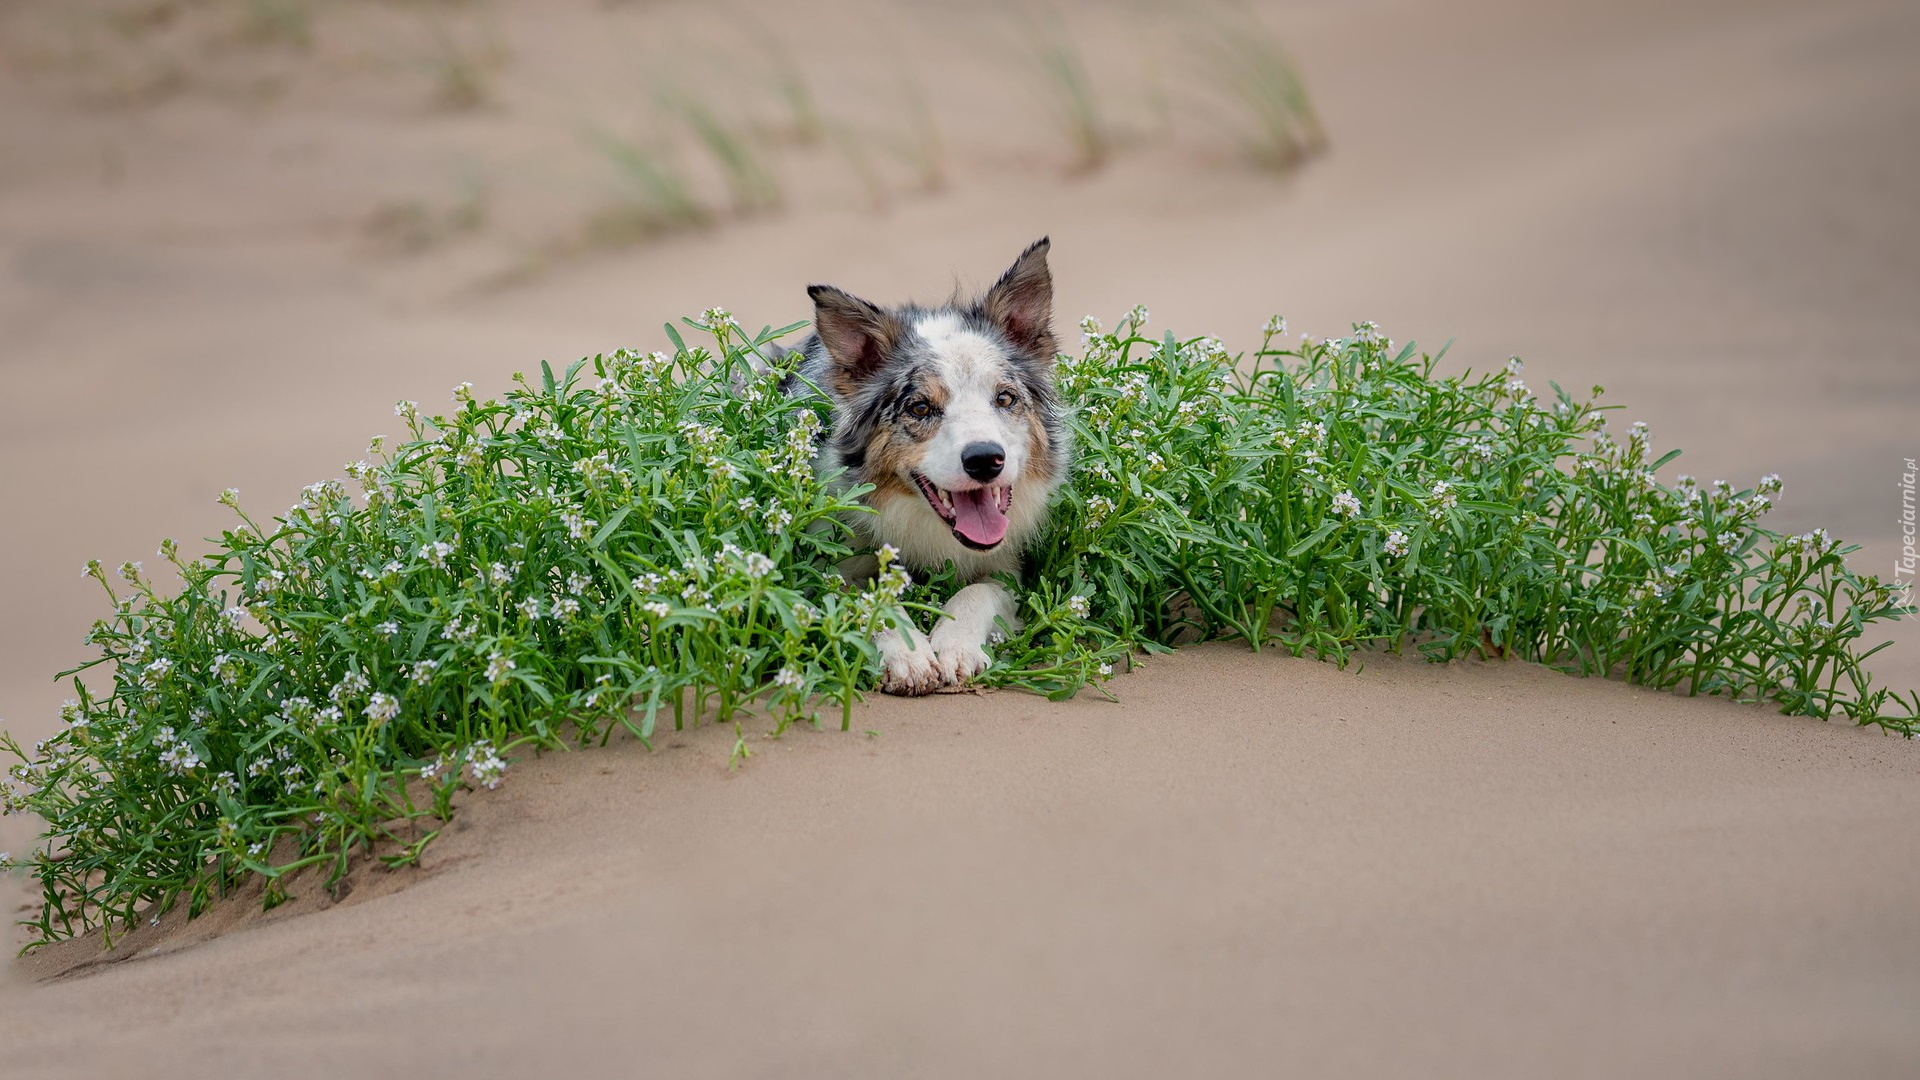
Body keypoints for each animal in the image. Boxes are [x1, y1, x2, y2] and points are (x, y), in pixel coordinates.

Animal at [775, 236, 1067, 691]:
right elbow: (870, 599)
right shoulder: (827, 567)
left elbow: (978, 592)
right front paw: (908, 654)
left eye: (1005, 398)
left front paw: (956, 647)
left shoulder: (1004, 567)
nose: (985, 459)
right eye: (920, 407)